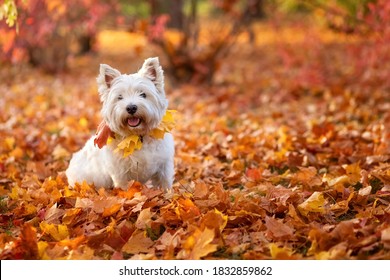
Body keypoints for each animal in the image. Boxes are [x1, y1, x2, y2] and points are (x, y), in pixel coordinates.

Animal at [66, 57, 174, 190]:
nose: (131, 108)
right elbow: (124, 189)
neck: (137, 137)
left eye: (143, 94)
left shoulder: (164, 165)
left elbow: (165, 184)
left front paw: (168, 194)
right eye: (120, 97)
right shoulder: (120, 173)